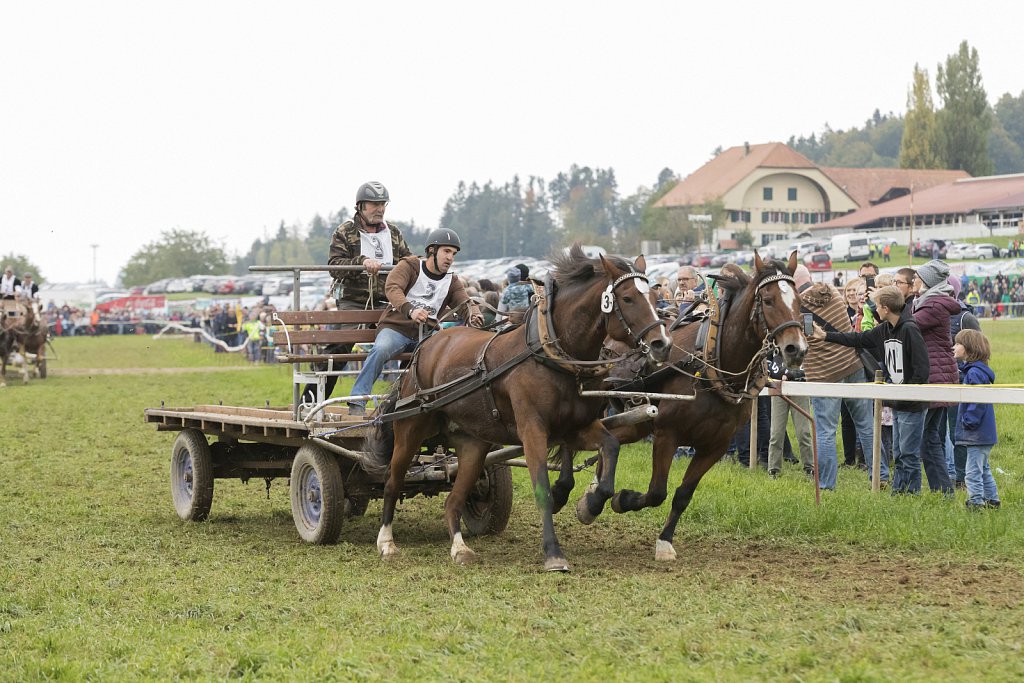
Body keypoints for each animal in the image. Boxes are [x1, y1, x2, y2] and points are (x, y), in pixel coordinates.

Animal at [366, 245, 671, 573]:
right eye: (627, 298)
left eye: (655, 297)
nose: (662, 344)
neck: (552, 356)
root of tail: (427, 344)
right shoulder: (532, 431)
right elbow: (543, 491)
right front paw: (553, 553)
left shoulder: (576, 428)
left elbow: (611, 448)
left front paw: (589, 506)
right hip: (410, 429)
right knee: (392, 481)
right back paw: (386, 542)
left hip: (472, 444)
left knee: (453, 500)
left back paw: (459, 548)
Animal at [598, 250, 806, 561]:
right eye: (768, 300)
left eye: (799, 301)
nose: (797, 349)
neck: (710, 363)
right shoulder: (667, 433)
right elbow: (657, 491)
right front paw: (624, 499)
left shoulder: (715, 445)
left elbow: (683, 494)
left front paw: (665, 540)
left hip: (635, 422)